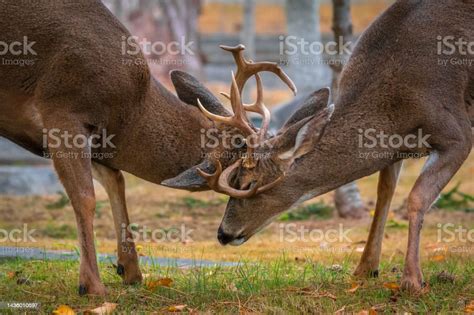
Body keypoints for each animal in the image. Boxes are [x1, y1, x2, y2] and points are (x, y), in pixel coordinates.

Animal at [0, 0, 296, 296]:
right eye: (248, 182)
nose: (225, 234)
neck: (128, 112)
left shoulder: (93, 140)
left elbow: (116, 181)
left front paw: (130, 270)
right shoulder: (62, 110)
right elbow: (85, 197)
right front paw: (92, 285)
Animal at [165, 0, 472, 294]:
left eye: (248, 183)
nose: (223, 233)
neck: (397, 107)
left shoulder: (457, 133)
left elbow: (417, 197)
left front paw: (413, 281)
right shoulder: (395, 150)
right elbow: (384, 193)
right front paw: (365, 268)